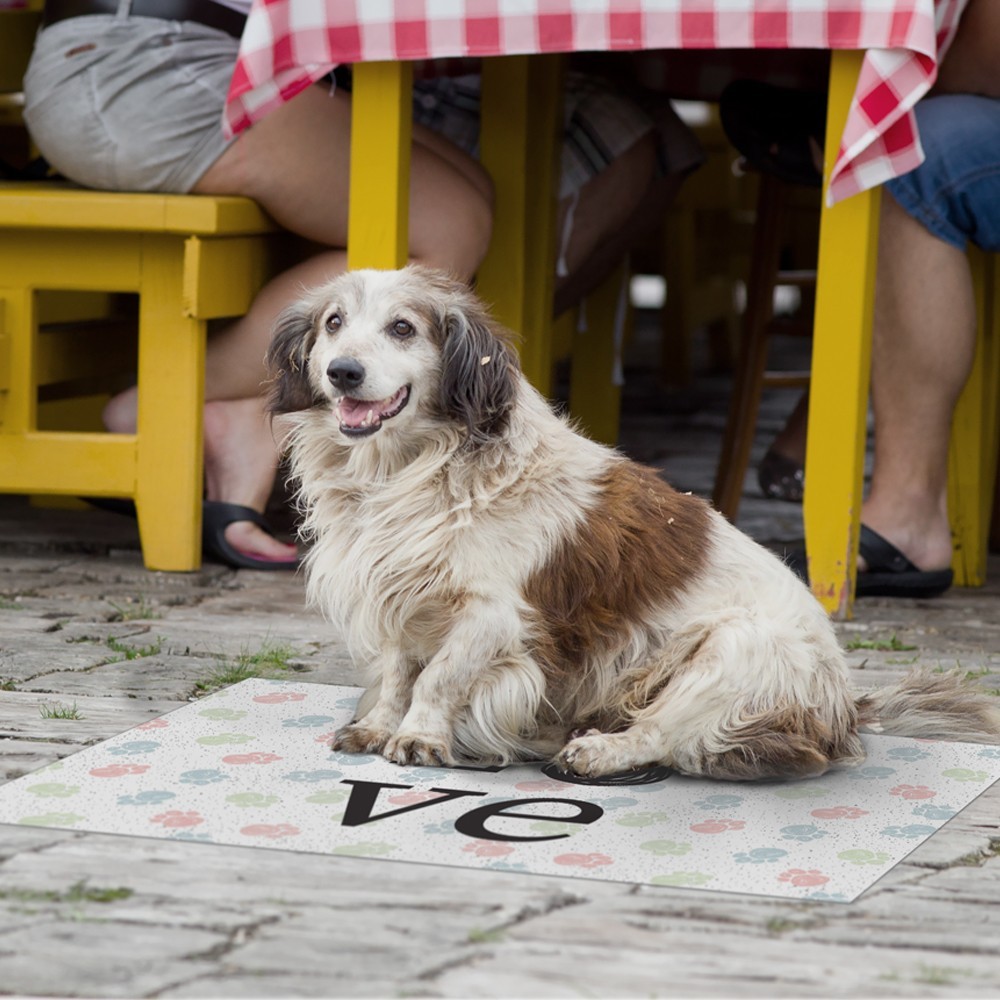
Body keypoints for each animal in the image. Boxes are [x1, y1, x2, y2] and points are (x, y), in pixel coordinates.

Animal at [266, 266, 1000, 780]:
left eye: (403, 328)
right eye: (334, 323)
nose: (343, 372)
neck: (409, 474)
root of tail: (845, 702)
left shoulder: (489, 617)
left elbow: (439, 676)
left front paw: (419, 736)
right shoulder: (397, 592)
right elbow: (398, 671)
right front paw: (379, 726)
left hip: (727, 649)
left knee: (674, 738)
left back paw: (595, 752)